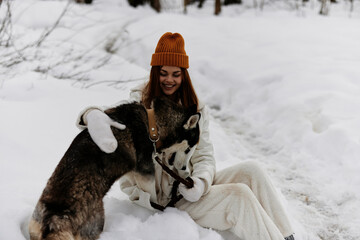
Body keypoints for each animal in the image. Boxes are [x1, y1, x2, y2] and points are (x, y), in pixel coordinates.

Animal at [29, 97, 201, 240]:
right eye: (188, 149)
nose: (185, 169)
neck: (153, 125)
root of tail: (54, 219)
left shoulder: (133, 170)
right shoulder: (145, 170)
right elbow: (151, 194)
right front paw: (153, 210)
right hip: (96, 224)